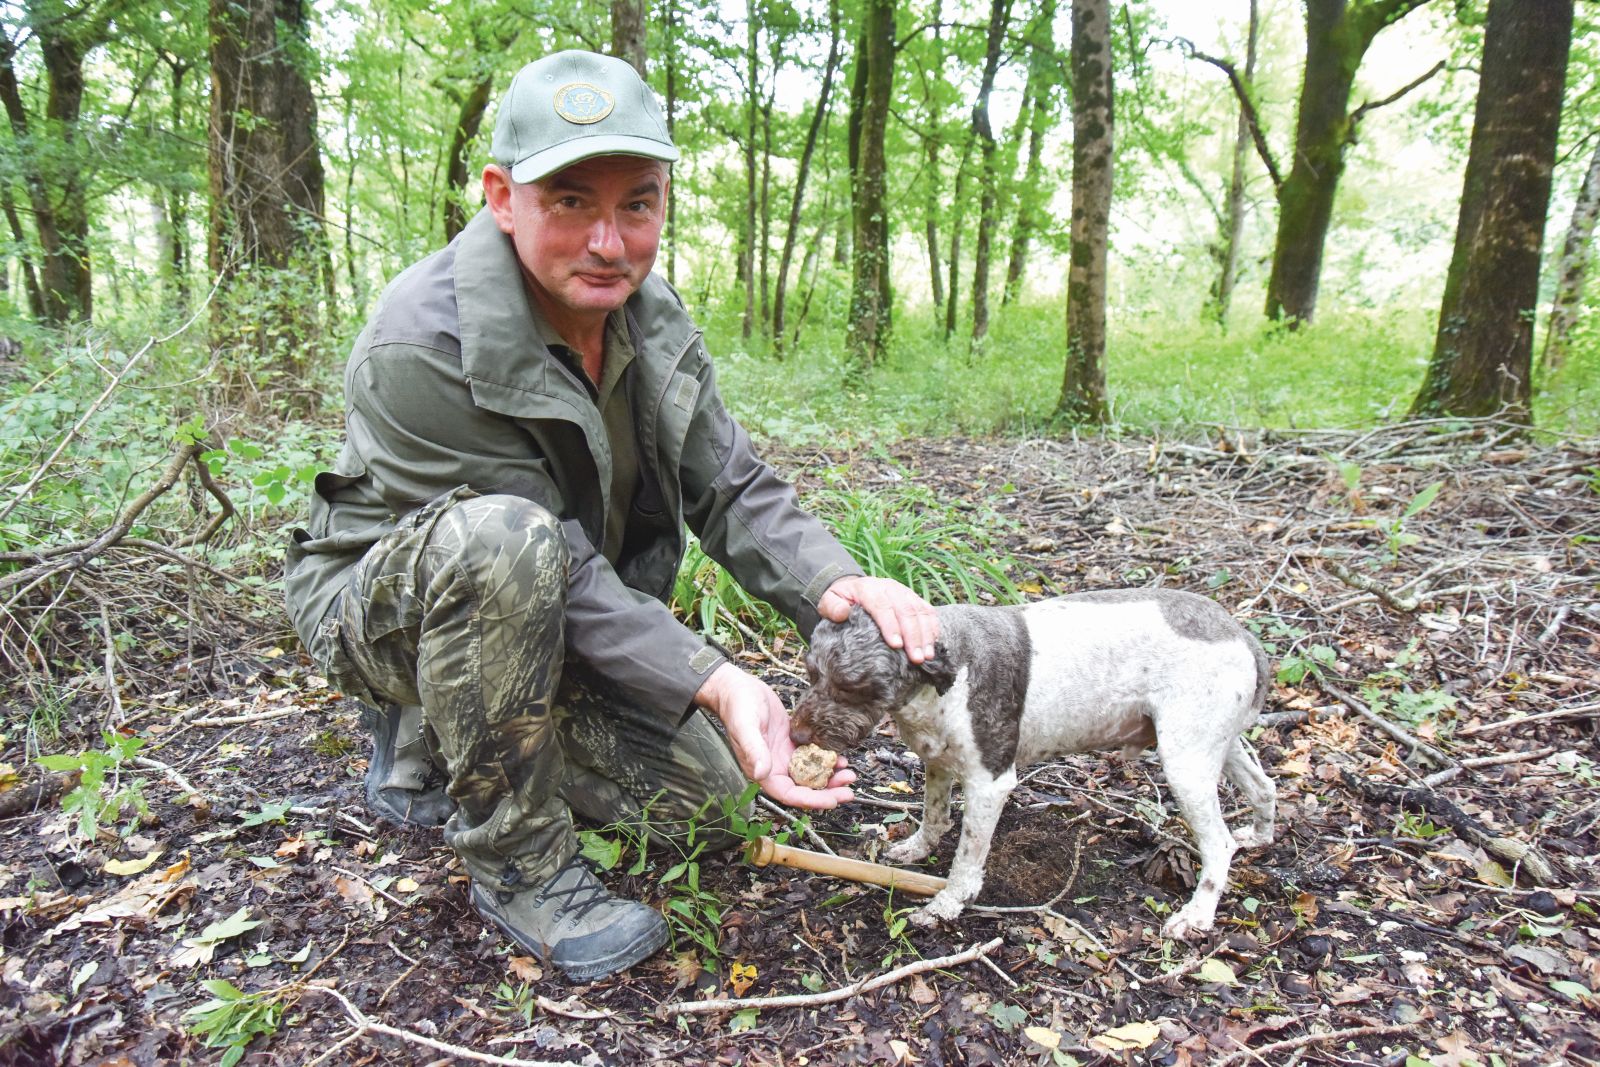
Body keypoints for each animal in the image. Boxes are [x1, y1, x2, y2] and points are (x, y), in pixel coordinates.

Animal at [793, 588, 1280, 940]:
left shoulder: (990, 783)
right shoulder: (939, 763)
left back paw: (1197, 915)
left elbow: (966, 860)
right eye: (812, 672)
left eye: (855, 686)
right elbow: (933, 818)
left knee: (1218, 844)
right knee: (1264, 787)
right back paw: (1258, 835)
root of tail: (1243, 636)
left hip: (1185, 761)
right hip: (1214, 744)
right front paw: (916, 849)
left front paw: (946, 906)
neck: (948, 675)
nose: (796, 736)